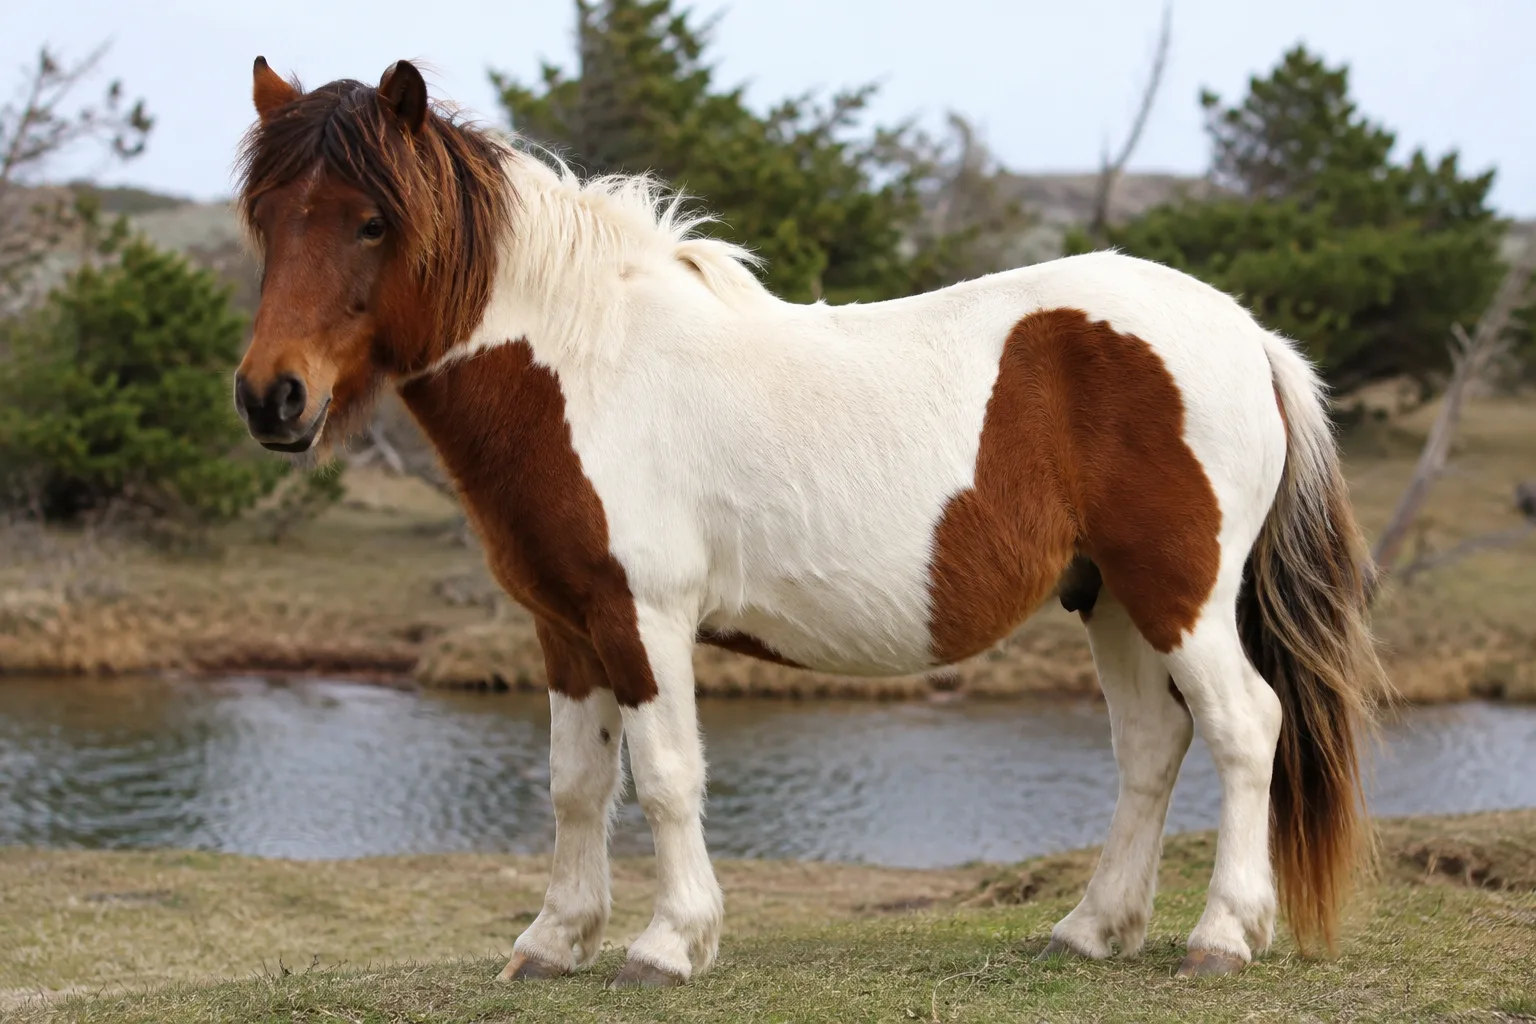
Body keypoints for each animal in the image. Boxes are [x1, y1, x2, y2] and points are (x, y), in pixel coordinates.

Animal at [232, 56, 1388, 988]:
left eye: (372, 220)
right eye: (267, 220)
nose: (271, 398)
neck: (587, 366)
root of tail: (1246, 334)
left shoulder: (643, 618)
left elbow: (665, 777)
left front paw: (668, 946)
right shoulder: (565, 625)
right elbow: (575, 783)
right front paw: (554, 942)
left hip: (1182, 590)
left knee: (1244, 727)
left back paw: (1223, 936)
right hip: (1110, 597)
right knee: (1152, 744)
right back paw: (1091, 930)